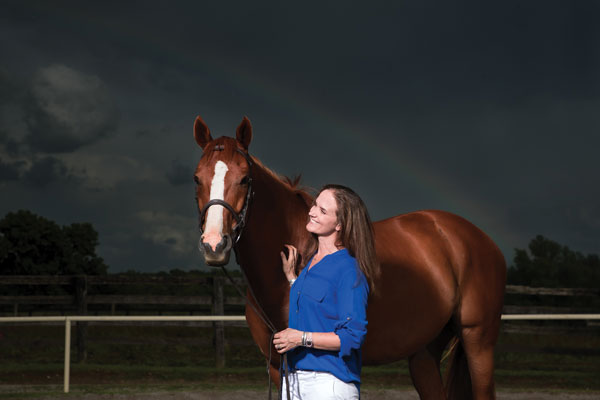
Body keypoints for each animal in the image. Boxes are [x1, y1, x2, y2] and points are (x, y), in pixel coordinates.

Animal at [193, 114, 506, 398]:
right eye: (197, 179)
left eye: (245, 178)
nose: (214, 245)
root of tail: (478, 238)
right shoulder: (276, 367)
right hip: (424, 353)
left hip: (478, 342)